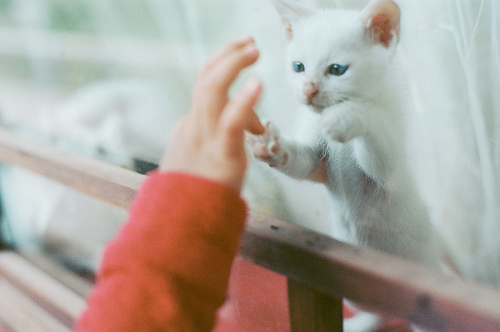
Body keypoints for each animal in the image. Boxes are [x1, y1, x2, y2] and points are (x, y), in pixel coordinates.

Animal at [250, 0, 442, 330]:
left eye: (337, 70)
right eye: (298, 67)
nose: (308, 91)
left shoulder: (388, 167)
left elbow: (374, 136)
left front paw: (347, 117)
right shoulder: (316, 162)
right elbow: (302, 162)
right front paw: (271, 147)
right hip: (356, 290)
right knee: (379, 309)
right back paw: (361, 323)